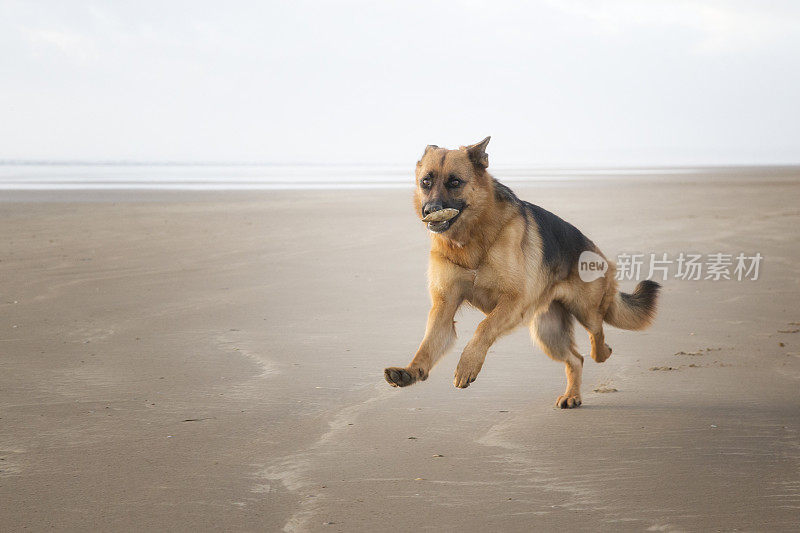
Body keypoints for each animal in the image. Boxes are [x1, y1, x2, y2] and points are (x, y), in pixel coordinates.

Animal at [384, 137, 660, 408]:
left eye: (454, 182)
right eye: (426, 182)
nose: (430, 210)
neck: (472, 238)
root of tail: (595, 250)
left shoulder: (513, 301)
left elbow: (483, 327)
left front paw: (467, 365)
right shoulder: (444, 307)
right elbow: (427, 345)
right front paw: (412, 371)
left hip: (585, 311)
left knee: (597, 334)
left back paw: (601, 354)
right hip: (548, 334)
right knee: (576, 359)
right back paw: (572, 395)